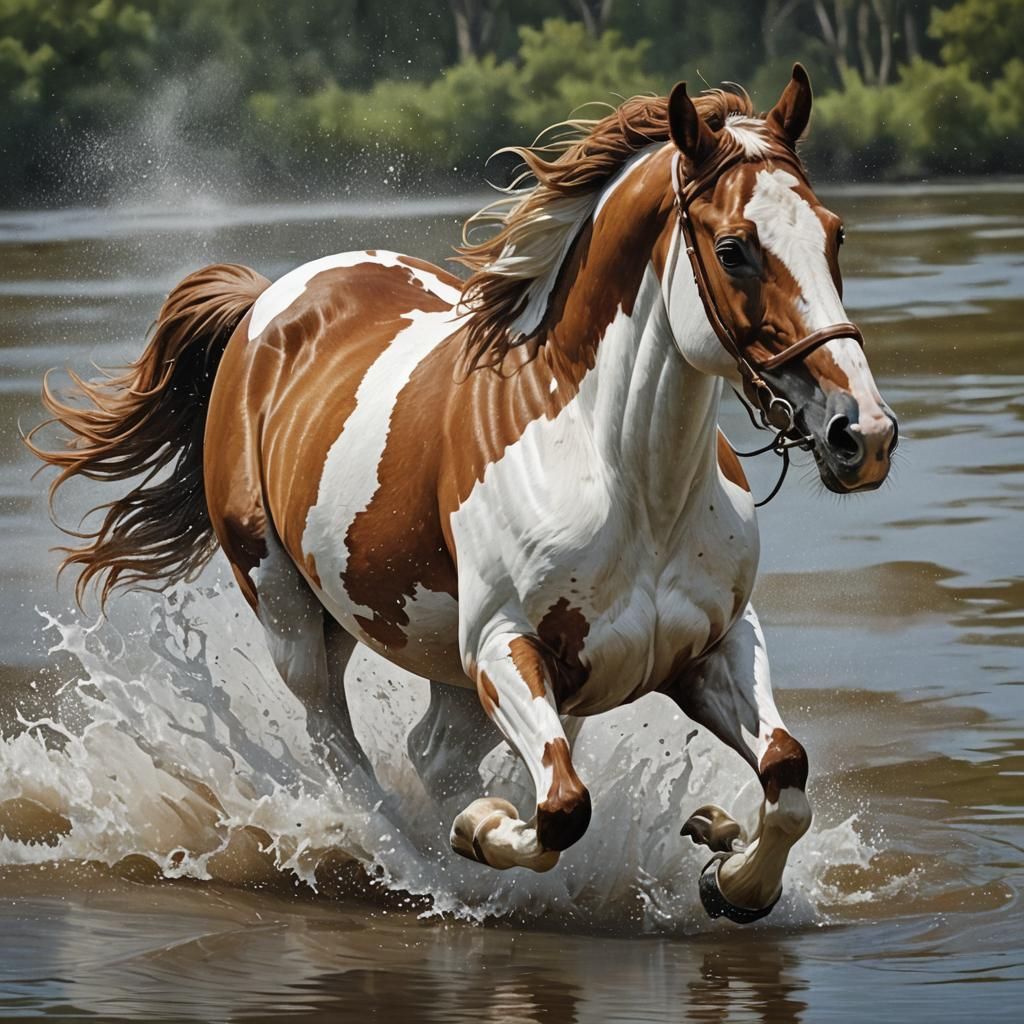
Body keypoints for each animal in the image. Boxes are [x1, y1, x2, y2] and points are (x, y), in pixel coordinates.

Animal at [30, 65, 897, 924]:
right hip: (292, 616)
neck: (625, 482)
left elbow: (786, 773)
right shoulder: (503, 651)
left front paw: (725, 862)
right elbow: (560, 809)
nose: (862, 432)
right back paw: (403, 859)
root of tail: (265, 302)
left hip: (440, 667)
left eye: (833, 233)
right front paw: (481, 830)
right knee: (340, 748)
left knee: (430, 753)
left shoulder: (713, 645)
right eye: (733, 248)